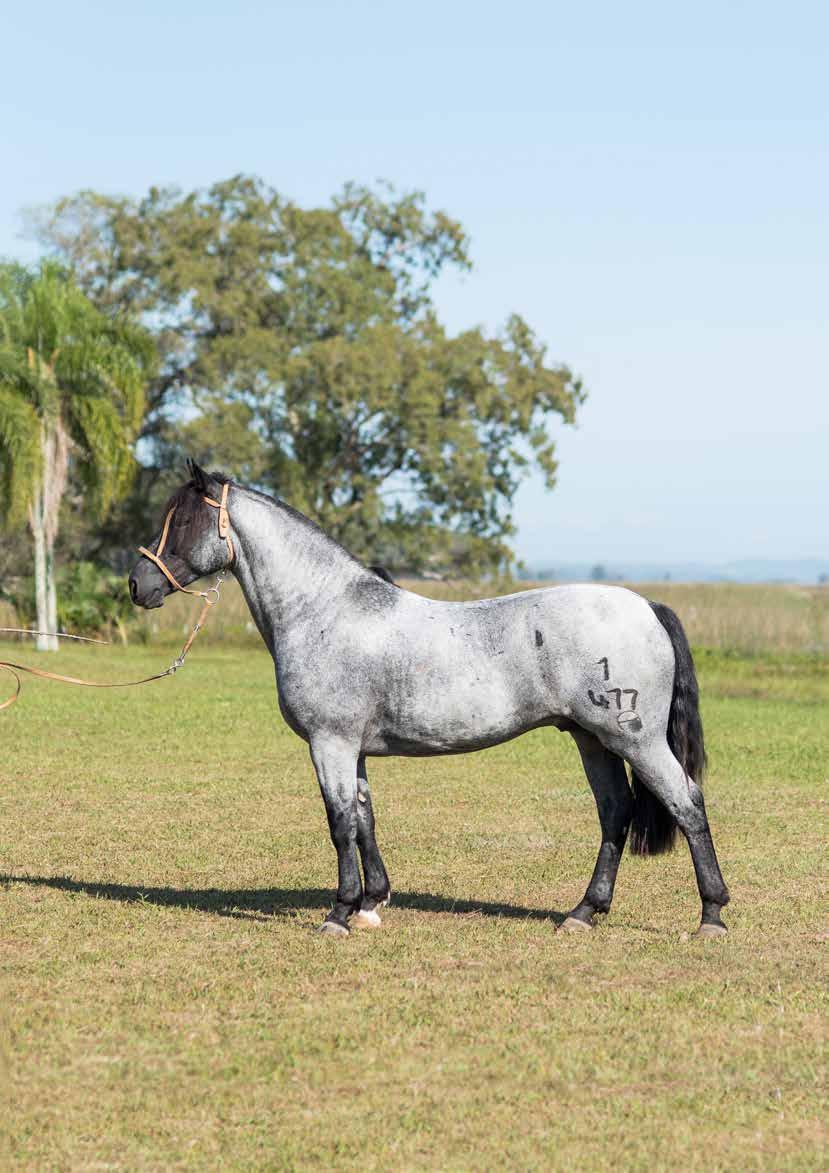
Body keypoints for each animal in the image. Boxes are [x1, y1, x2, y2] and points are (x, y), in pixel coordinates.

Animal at [126, 462, 731, 938]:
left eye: (183, 521)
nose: (137, 584)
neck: (325, 610)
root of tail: (646, 606)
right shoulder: (353, 750)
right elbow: (365, 817)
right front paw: (372, 903)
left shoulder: (329, 744)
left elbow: (339, 823)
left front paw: (339, 914)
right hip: (592, 740)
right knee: (615, 814)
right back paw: (583, 913)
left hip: (635, 740)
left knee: (686, 803)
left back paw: (711, 917)